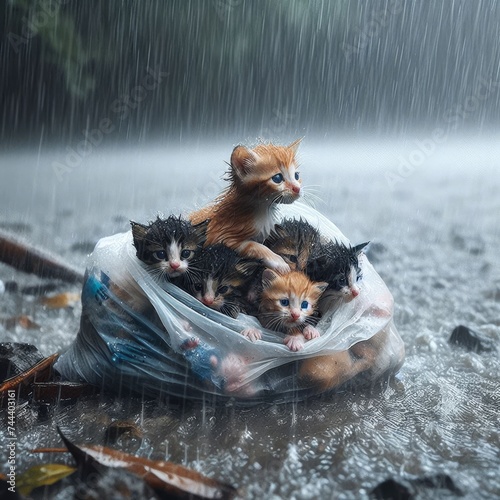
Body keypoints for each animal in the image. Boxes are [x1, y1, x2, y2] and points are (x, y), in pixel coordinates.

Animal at [189, 139, 302, 274]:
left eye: (296, 176)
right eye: (277, 178)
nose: (297, 188)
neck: (262, 208)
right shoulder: (221, 237)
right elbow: (255, 246)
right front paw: (279, 262)